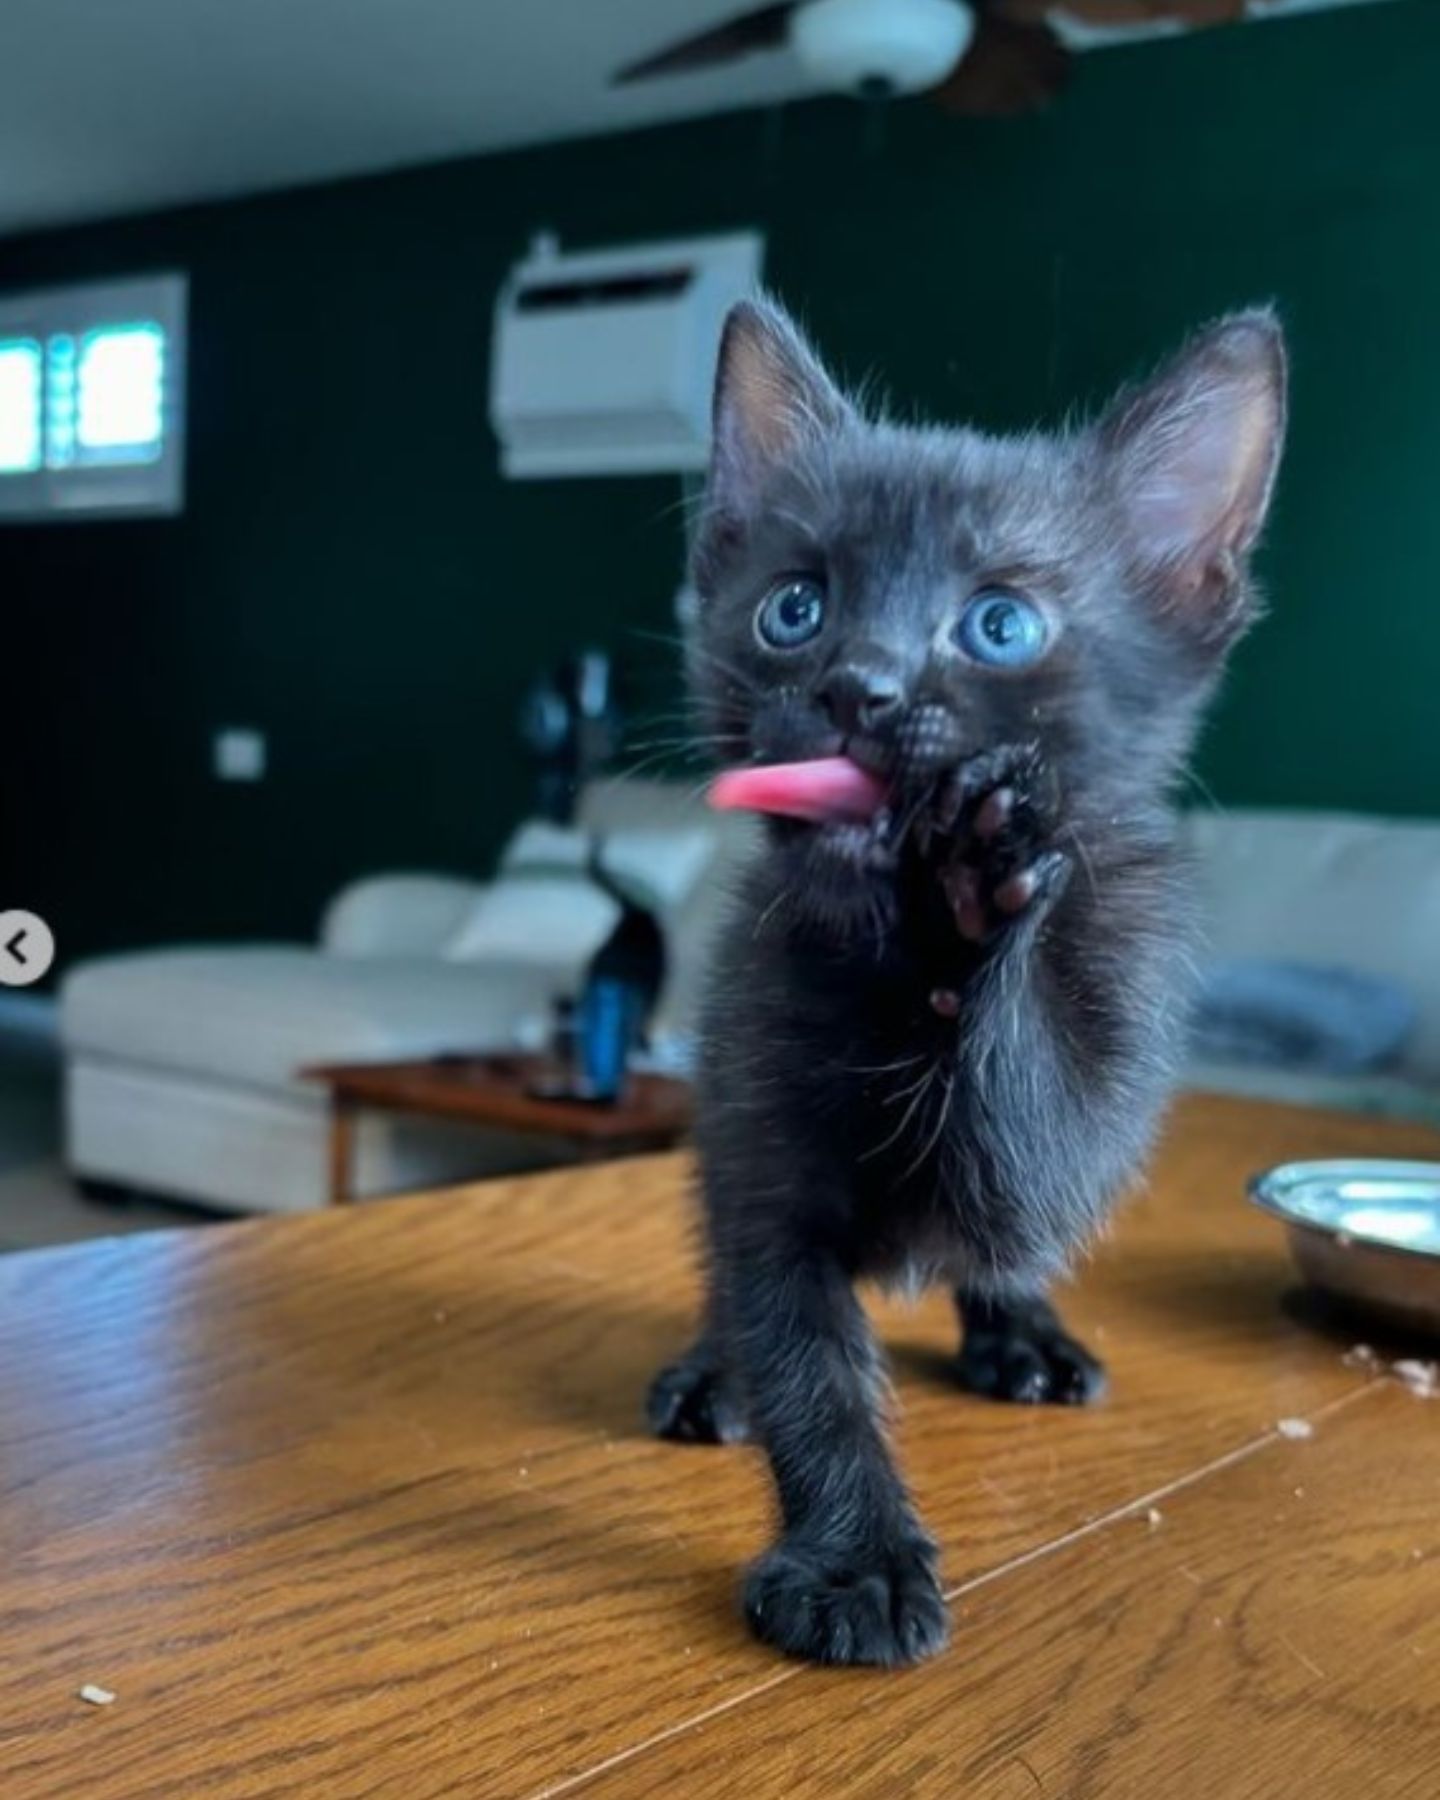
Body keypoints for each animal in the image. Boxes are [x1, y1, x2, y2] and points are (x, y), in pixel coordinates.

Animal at [648, 298, 1288, 1670]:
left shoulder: (1104, 1039)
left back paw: (1023, 1333)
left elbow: (1017, 1155)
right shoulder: (756, 1121)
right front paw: (853, 1563)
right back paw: (714, 1371)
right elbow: (803, 1348)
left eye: (1001, 625)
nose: (857, 688)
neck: (881, 949)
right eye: (794, 607)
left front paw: (974, 889)